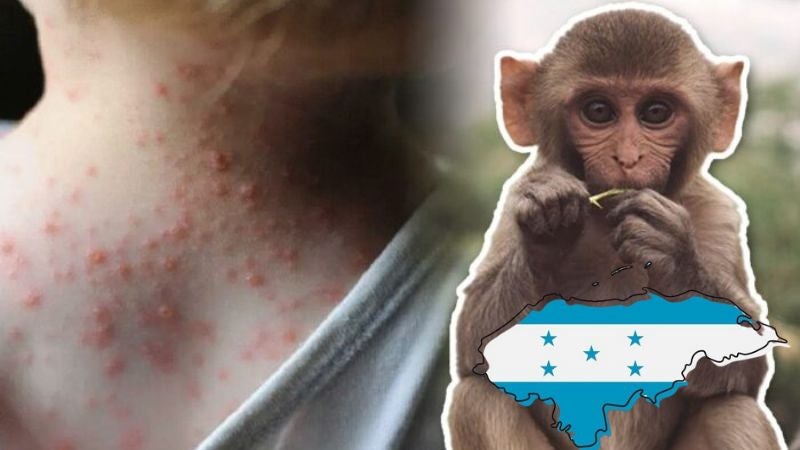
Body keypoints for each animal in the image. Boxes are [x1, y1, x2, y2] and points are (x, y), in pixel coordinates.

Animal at [444, 6, 786, 450]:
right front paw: (547, 232)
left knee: (733, 411)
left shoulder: (718, 213)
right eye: (598, 111)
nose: (627, 157)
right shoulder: (515, 197)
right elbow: (473, 346)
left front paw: (672, 257)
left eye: (655, 112)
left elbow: (749, 361)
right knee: (477, 397)